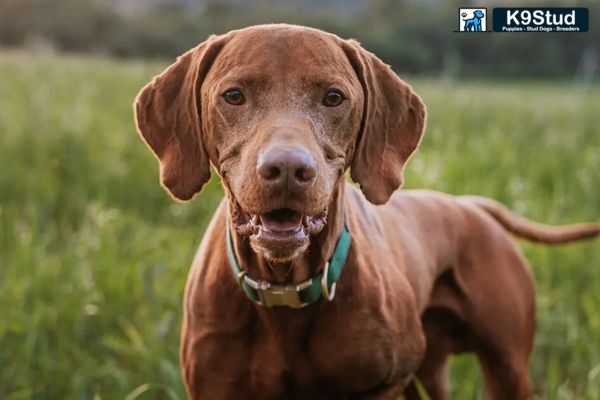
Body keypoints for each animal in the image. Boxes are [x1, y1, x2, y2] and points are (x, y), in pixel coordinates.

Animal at [134, 25, 596, 400]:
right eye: (233, 95)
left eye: (333, 97)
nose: (287, 169)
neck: (284, 290)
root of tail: (469, 205)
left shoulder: (386, 382)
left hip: (505, 368)